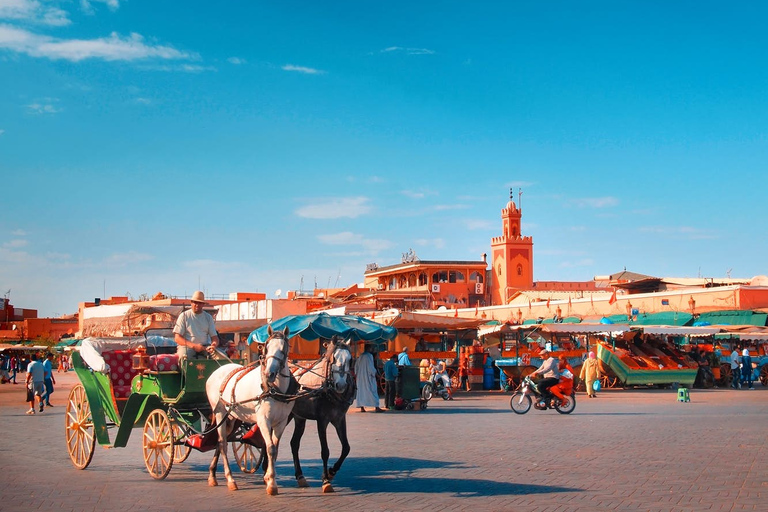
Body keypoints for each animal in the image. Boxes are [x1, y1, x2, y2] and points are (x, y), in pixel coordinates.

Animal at [206, 326, 296, 494]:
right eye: (266, 347)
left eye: (283, 349)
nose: (269, 374)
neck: (274, 389)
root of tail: (218, 370)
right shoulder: (263, 421)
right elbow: (270, 448)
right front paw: (272, 484)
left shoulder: (281, 422)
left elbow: (275, 449)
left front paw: (268, 478)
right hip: (219, 412)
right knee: (222, 443)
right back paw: (230, 479)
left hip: (231, 417)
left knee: (220, 442)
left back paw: (212, 475)